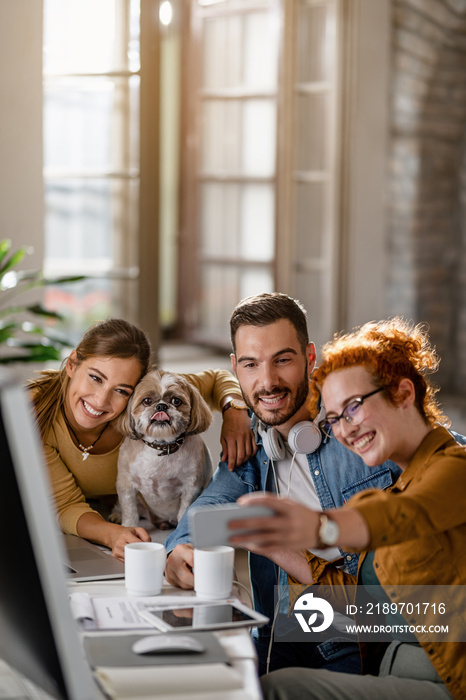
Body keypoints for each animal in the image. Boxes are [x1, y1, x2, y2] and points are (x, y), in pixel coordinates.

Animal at [113, 370, 213, 528]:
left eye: (176, 401)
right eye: (147, 401)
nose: (161, 406)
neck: (161, 446)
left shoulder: (191, 487)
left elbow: (184, 510)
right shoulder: (126, 483)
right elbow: (130, 511)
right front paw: (129, 527)